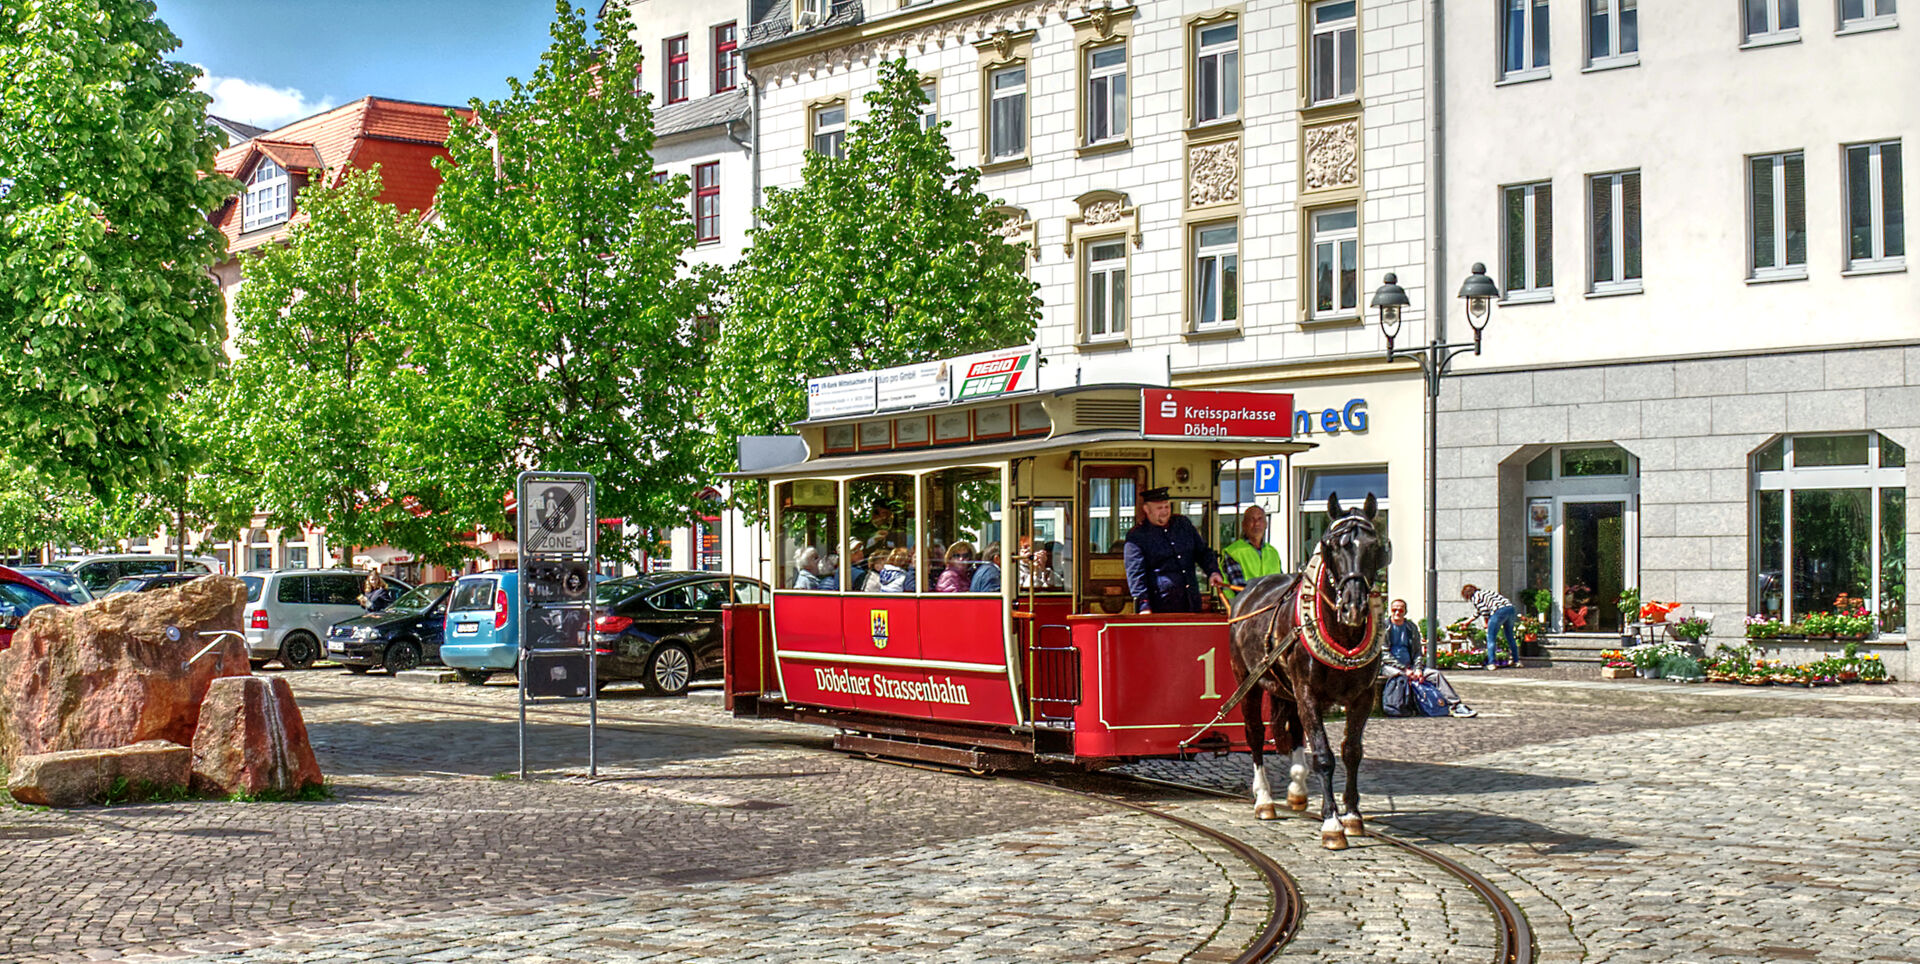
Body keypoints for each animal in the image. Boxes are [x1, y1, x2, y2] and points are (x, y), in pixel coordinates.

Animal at [1236, 491, 1390, 848]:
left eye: (1374, 545)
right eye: (1331, 546)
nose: (1353, 607)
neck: (1342, 632)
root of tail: (1249, 590)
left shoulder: (1362, 697)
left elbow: (1351, 751)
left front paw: (1352, 815)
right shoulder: (1307, 692)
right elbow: (1323, 754)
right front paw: (1332, 823)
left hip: (1287, 690)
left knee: (1293, 731)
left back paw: (1296, 790)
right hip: (1249, 683)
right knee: (1255, 734)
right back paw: (1264, 799)